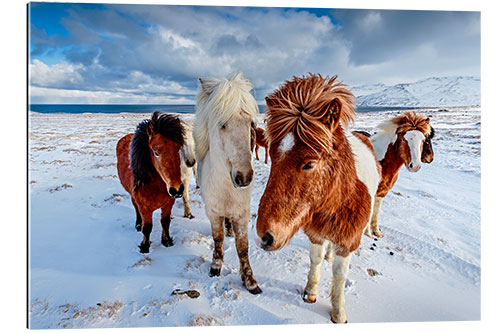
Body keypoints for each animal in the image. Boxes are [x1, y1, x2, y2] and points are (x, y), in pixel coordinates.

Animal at [116, 111, 185, 252]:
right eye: (156, 152)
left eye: (177, 148)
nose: (177, 189)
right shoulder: (144, 208)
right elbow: (147, 228)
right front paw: (145, 247)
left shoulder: (168, 203)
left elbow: (165, 222)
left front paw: (167, 241)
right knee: (135, 207)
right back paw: (137, 224)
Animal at [192, 72, 264, 294]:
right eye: (222, 124)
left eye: (251, 124)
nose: (244, 177)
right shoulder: (213, 212)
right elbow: (217, 239)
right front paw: (216, 266)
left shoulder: (242, 213)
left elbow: (243, 247)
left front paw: (250, 281)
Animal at [256, 74, 380, 322]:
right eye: (272, 155)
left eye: (309, 163)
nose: (265, 236)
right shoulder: (315, 234)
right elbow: (315, 261)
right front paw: (310, 293)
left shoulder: (349, 241)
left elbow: (340, 275)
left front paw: (338, 313)